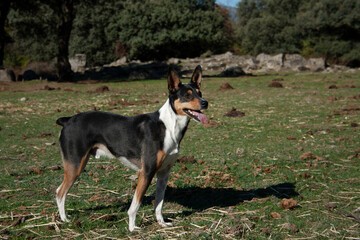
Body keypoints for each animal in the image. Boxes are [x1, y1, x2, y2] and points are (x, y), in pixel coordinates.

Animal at [55, 65, 208, 231]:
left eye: (199, 93)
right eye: (187, 95)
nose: (205, 103)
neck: (168, 126)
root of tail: (68, 120)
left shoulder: (164, 173)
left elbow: (159, 203)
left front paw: (161, 222)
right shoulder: (146, 172)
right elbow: (136, 204)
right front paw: (132, 227)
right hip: (75, 166)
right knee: (60, 193)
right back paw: (64, 219)